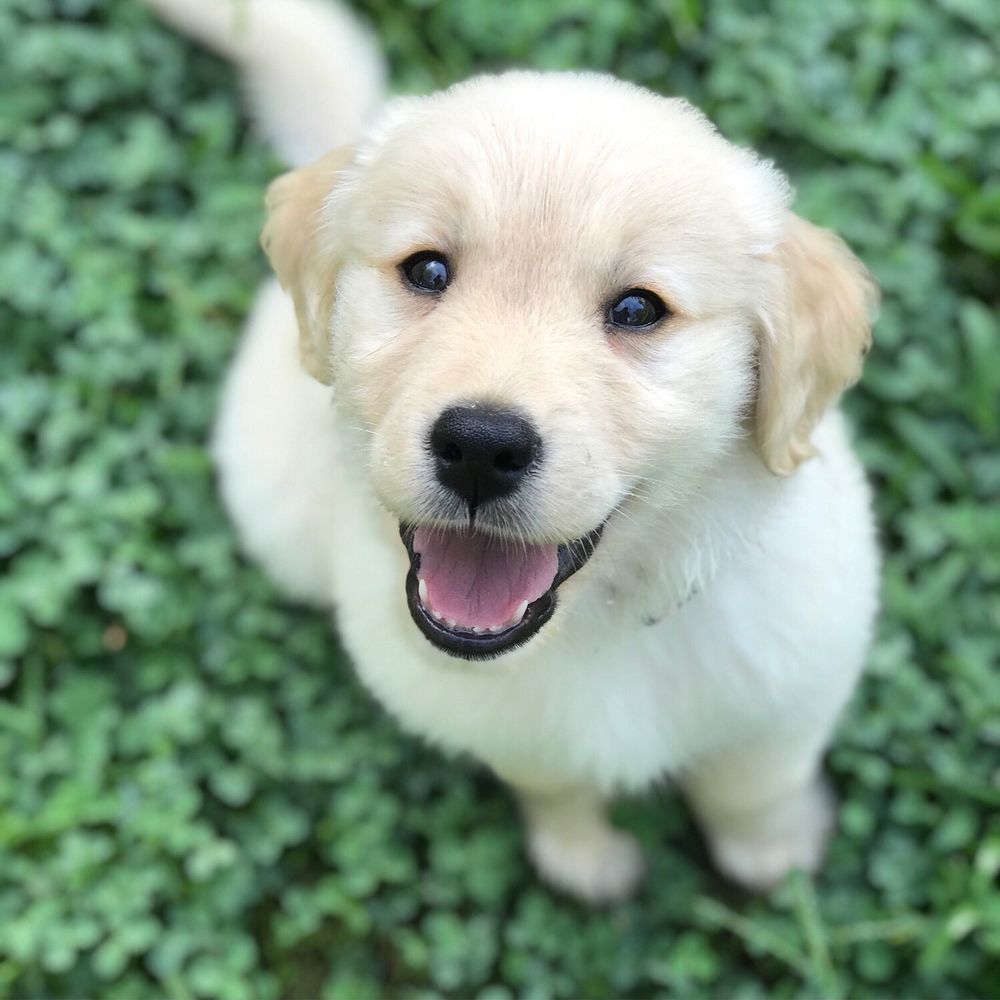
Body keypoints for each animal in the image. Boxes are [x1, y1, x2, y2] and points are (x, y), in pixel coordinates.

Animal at [147, 0, 880, 902]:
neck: (598, 625)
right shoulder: (501, 725)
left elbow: (754, 783)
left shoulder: (792, 689)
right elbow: (554, 785)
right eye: (427, 270)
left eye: (639, 309)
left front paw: (773, 853)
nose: (478, 446)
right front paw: (583, 859)